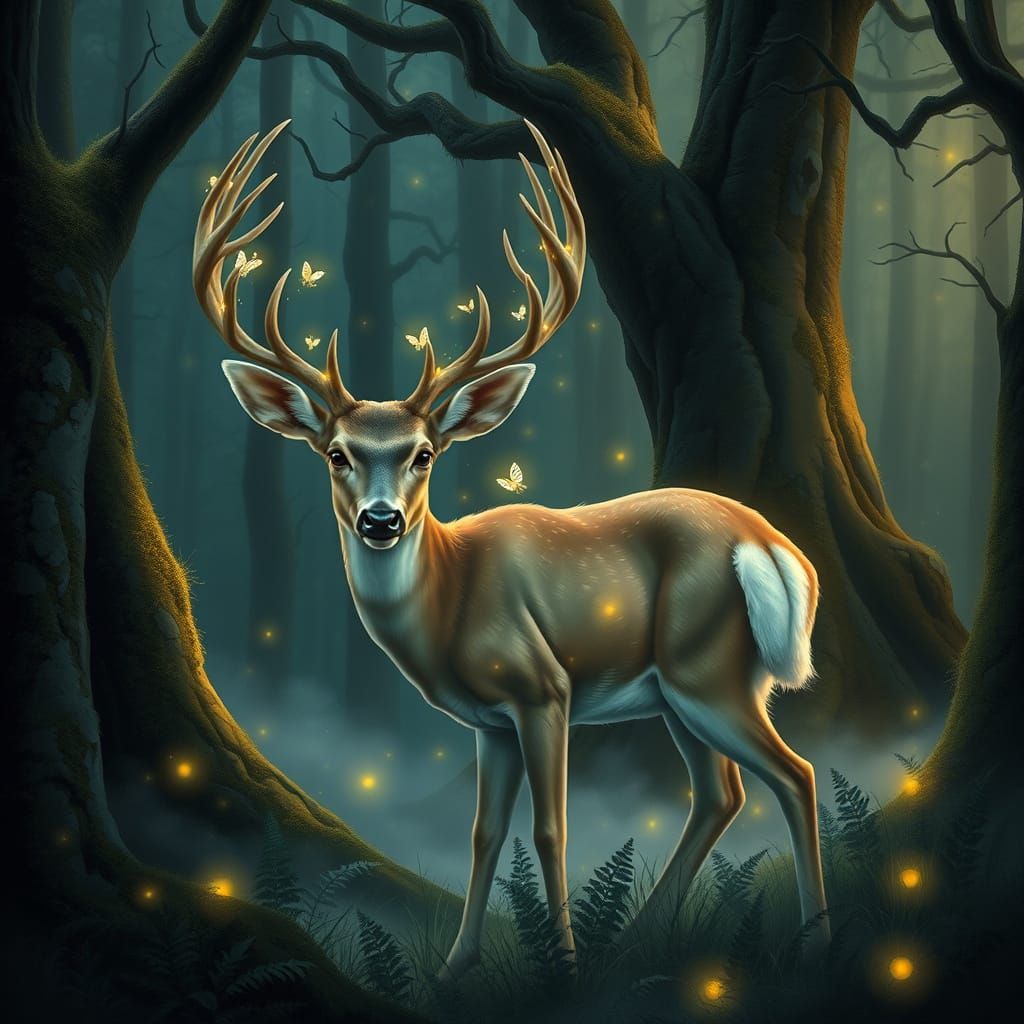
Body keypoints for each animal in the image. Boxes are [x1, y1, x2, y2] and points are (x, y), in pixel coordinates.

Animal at [194, 120, 829, 979]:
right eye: (335, 454)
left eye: (425, 454)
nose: (382, 522)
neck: (449, 603)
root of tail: (771, 544)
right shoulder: (487, 723)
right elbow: (483, 832)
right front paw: (456, 966)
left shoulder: (543, 687)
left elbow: (550, 827)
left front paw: (559, 961)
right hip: (679, 689)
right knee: (720, 792)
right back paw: (640, 939)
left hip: (707, 666)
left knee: (795, 774)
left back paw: (811, 937)